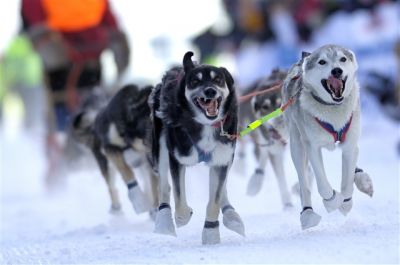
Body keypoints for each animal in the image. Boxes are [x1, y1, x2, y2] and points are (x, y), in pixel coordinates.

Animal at [72, 84, 158, 214]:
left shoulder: (149, 162)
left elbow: (154, 187)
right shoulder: (110, 148)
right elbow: (126, 171)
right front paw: (139, 201)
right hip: (106, 164)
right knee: (111, 186)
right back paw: (116, 207)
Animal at [150, 51, 244, 243]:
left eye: (218, 80)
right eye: (195, 81)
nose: (210, 91)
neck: (205, 125)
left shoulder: (222, 159)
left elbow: (214, 201)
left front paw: (211, 233)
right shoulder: (177, 159)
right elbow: (179, 200)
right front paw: (182, 217)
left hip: (225, 157)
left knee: (221, 188)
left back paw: (231, 215)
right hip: (161, 147)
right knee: (164, 187)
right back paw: (164, 222)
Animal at [282, 44, 374, 228]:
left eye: (342, 59)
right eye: (322, 62)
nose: (336, 70)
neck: (333, 108)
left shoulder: (349, 145)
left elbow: (347, 181)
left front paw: (345, 203)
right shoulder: (312, 147)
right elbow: (323, 186)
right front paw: (333, 201)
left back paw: (362, 179)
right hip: (297, 145)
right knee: (304, 183)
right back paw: (307, 214)